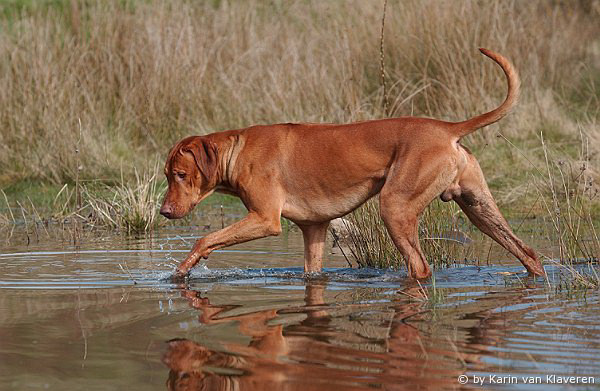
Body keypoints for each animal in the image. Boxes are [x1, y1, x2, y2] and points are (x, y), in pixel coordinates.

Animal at [162, 49, 548, 280]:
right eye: (166, 176)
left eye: (180, 175)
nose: (164, 212)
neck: (238, 149)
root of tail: (447, 129)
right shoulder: (314, 230)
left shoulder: (264, 220)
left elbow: (205, 239)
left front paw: (182, 270)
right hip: (479, 207)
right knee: (527, 251)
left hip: (395, 207)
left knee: (420, 267)